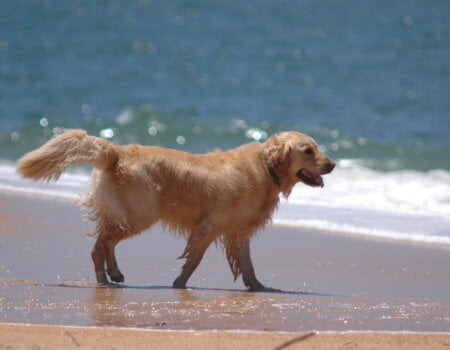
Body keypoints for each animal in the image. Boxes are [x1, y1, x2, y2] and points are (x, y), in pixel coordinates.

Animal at [18, 130, 334, 292]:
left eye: (317, 148)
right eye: (308, 151)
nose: (332, 164)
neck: (266, 168)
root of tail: (117, 152)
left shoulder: (239, 229)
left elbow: (247, 263)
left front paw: (258, 287)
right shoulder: (210, 225)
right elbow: (194, 260)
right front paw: (180, 283)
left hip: (129, 214)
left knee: (106, 242)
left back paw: (114, 274)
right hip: (141, 214)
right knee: (100, 245)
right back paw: (104, 280)